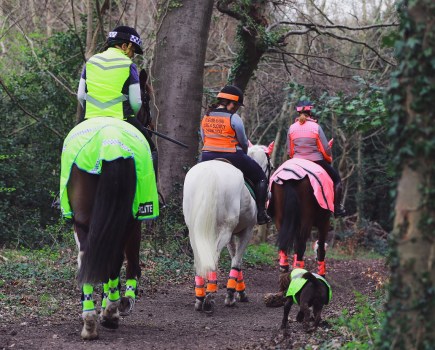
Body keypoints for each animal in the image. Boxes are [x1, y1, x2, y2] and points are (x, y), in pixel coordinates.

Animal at [59, 69, 158, 340]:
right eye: (147, 99)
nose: (152, 127)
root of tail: (110, 145)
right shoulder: (136, 221)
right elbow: (132, 264)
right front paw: (120, 303)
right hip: (127, 219)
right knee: (114, 259)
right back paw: (110, 312)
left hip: (83, 219)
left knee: (88, 256)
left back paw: (90, 320)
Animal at [183, 142, 272, 314]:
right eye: (270, 166)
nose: (269, 194)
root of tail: (210, 172)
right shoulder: (246, 232)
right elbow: (237, 261)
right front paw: (232, 296)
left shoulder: (232, 235)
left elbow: (235, 260)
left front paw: (240, 292)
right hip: (223, 231)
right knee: (213, 257)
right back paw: (209, 298)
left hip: (195, 231)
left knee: (199, 258)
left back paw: (199, 297)